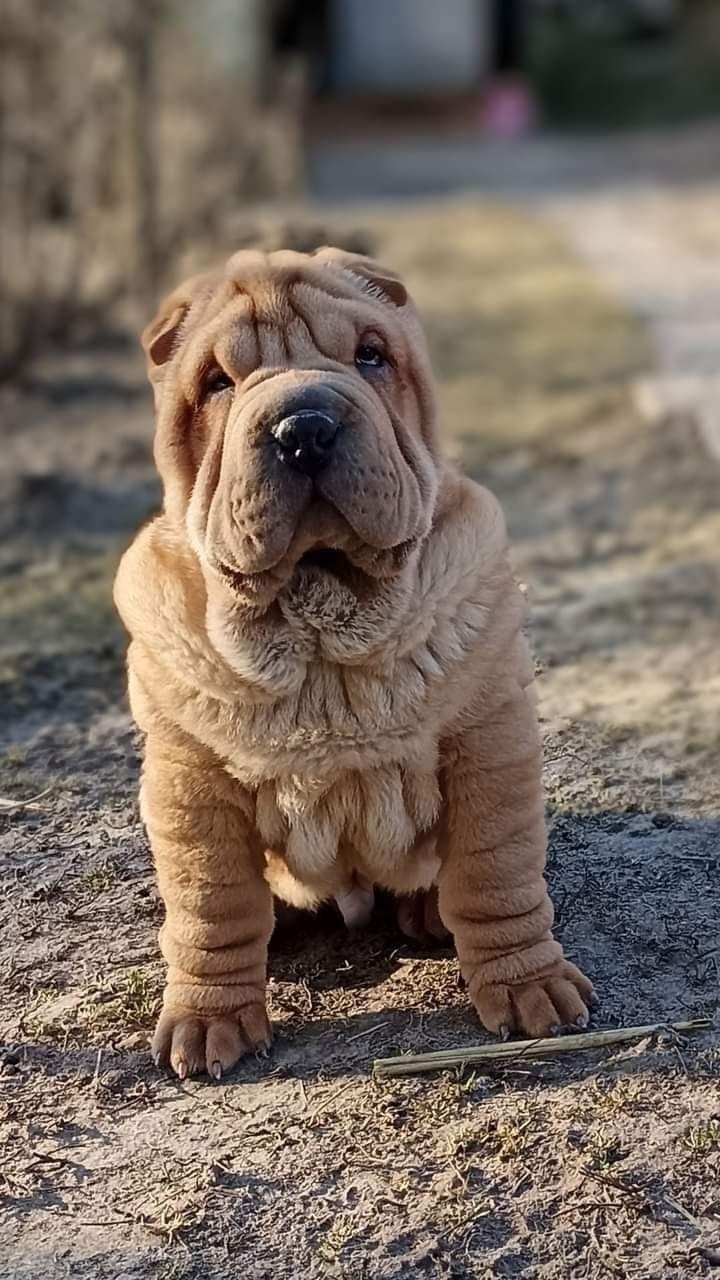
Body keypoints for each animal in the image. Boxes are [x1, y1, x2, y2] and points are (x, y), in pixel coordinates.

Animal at [114, 244, 591, 1075]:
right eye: (217, 382)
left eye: (371, 355)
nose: (304, 427)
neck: (319, 622)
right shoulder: (188, 779)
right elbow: (210, 902)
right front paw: (208, 1022)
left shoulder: (490, 741)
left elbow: (496, 870)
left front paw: (530, 987)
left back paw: (430, 910)